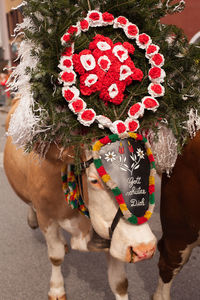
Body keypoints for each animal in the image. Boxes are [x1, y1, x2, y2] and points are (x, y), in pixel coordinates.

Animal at [3, 101, 156, 300]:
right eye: (94, 181)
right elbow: (56, 256)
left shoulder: (112, 236)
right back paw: (32, 219)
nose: (144, 248)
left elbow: (119, 282)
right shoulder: (47, 216)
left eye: (150, 172)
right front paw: (57, 289)